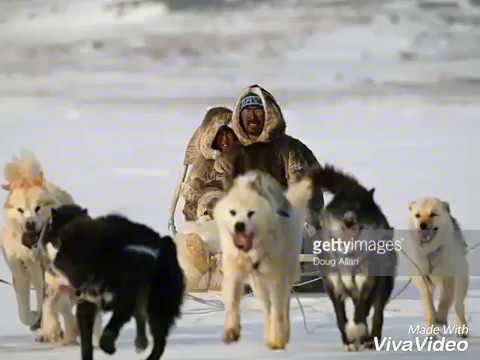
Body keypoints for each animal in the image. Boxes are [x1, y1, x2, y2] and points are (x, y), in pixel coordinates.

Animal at [1, 152, 78, 344]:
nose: (29, 223)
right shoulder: (20, 271)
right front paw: (35, 319)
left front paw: (49, 329)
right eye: (20, 210)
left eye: (38, 208)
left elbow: (48, 303)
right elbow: (24, 311)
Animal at [48, 205, 184, 360]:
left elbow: (110, 330)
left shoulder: (125, 301)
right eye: (57, 239)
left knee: (159, 343)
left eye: (61, 242)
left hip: (158, 307)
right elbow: (86, 343)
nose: (52, 264)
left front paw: (108, 347)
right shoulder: (88, 304)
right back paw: (141, 342)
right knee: (141, 319)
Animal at [312, 167, 398, 352]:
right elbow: (340, 317)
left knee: (376, 314)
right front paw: (348, 340)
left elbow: (360, 311)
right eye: (342, 208)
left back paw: (371, 340)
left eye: (359, 208)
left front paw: (356, 330)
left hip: (383, 286)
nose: (349, 219)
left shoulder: (366, 281)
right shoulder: (334, 286)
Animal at [406, 197, 470, 334]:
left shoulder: (449, 276)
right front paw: (431, 327)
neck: (431, 251)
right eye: (417, 215)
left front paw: (440, 317)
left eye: (433, 214)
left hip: (461, 280)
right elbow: (428, 304)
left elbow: (445, 299)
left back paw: (462, 328)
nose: (422, 225)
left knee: (458, 305)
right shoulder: (423, 278)